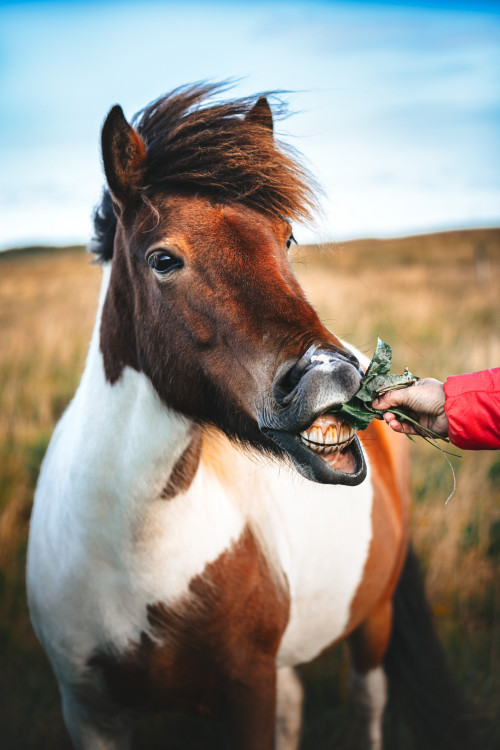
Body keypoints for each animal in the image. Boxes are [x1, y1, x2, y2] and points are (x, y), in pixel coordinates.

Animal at [26, 83, 464, 750]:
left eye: (286, 239)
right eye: (163, 260)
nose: (333, 377)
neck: (126, 555)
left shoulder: (248, 695)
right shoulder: (89, 710)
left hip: (374, 617)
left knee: (368, 703)